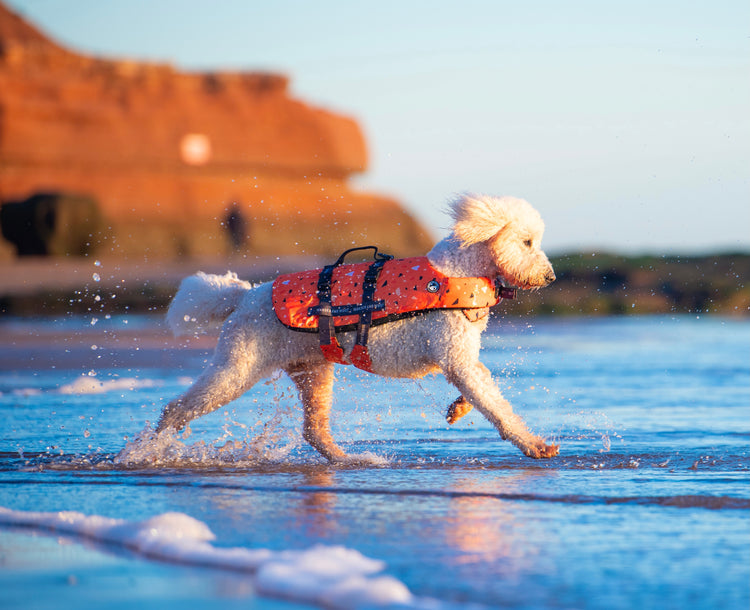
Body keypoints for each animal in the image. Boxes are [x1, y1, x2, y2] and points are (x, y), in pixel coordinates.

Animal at [157, 195, 560, 460]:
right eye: (527, 242)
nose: (550, 277)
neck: (458, 273)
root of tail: (242, 297)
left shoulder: (462, 360)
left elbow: (485, 389)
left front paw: (458, 408)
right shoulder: (454, 356)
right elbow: (497, 407)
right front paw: (534, 445)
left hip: (313, 372)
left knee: (314, 431)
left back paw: (349, 460)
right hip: (237, 368)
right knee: (175, 408)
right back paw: (147, 451)